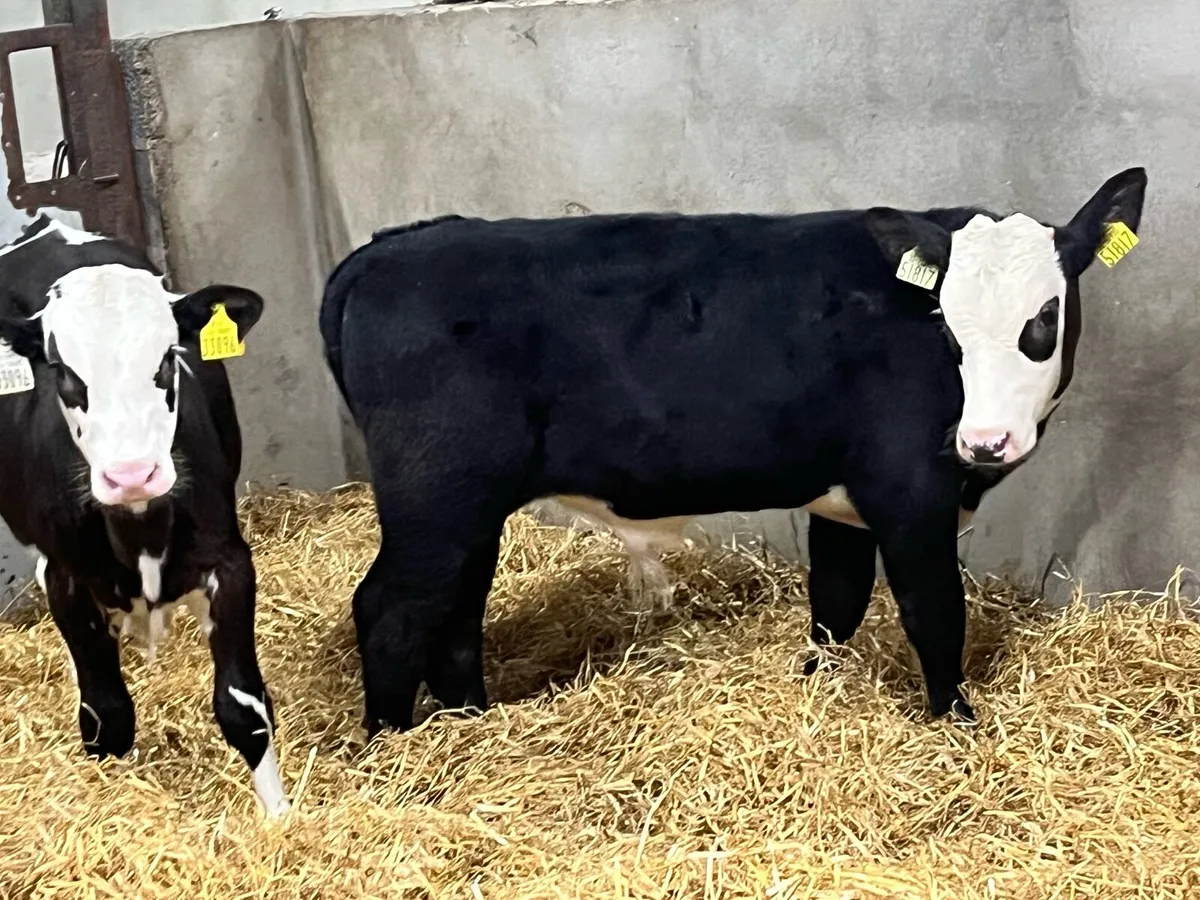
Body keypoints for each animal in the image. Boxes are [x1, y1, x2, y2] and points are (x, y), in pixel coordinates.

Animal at [0, 214, 288, 815]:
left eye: (168, 357)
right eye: (60, 371)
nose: (132, 473)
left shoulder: (229, 561)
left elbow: (243, 706)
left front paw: (280, 819)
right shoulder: (66, 577)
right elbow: (106, 716)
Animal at [318, 167, 1146, 734]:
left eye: (1044, 318)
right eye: (945, 320)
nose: (985, 441)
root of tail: (396, 243)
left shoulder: (843, 500)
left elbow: (836, 602)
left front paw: (815, 686)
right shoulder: (910, 492)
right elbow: (933, 611)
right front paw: (957, 724)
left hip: (467, 510)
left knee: (454, 611)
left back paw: (472, 723)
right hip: (435, 495)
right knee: (391, 609)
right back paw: (394, 748)